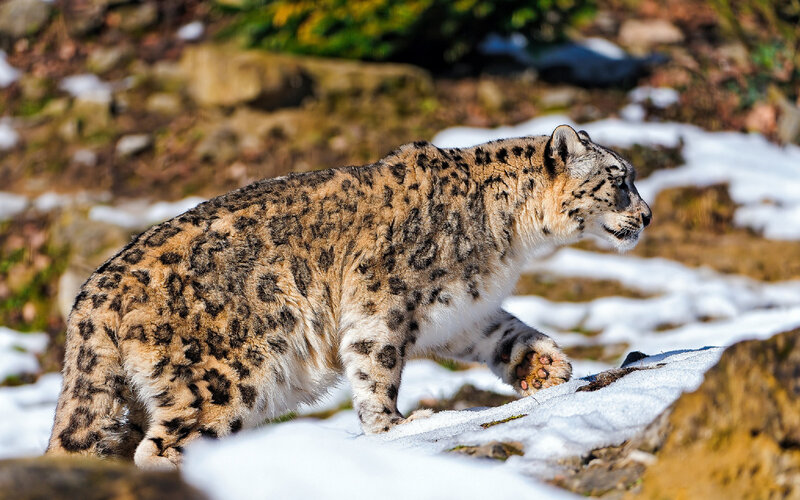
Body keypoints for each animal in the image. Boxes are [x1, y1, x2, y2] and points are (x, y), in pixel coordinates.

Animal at [45, 124, 651, 469]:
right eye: (619, 178)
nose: (646, 215)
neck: (509, 243)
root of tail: (92, 295)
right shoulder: (383, 302)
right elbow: (376, 364)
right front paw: (396, 425)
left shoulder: (460, 311)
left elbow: (503, 331)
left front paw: (544, 367)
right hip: (225, 380)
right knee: (162, 447)